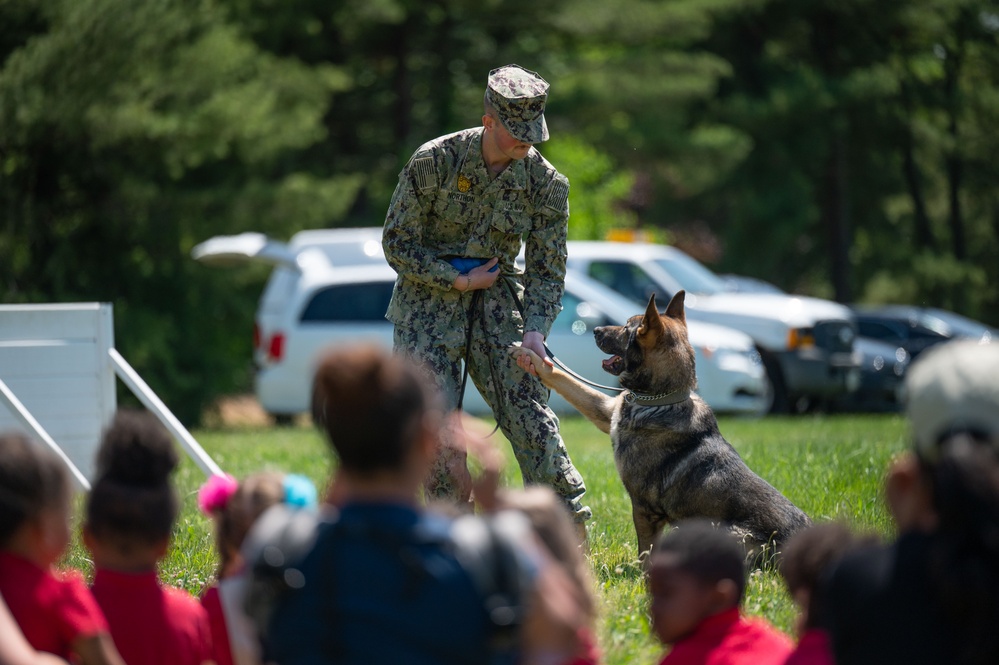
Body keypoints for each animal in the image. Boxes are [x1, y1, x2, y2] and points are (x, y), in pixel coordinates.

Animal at [512, 290, 808, 556]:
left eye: (627, 327)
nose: (594, 329)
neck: (659, 400)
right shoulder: (605, 412)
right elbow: (559, 376)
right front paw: (528, 351)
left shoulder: (644, 509)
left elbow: (646, 552)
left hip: (718, 531)